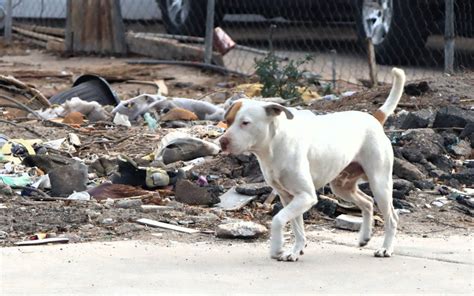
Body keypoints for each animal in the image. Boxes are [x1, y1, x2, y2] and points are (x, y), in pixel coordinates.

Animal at [220, 67, 406, 262]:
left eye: (245, 123)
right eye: (228, 121)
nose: (222, 141)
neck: (273, 146)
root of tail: (374, 119)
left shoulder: (306, 196)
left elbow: (278, 219)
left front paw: (277, 249)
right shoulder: (289, 197)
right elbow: (297, 228)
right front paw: (296, 250)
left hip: (380, 184)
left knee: (391, 218)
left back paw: (385, 248)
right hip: (342, 187)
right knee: (368, 202)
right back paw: (364, 237)